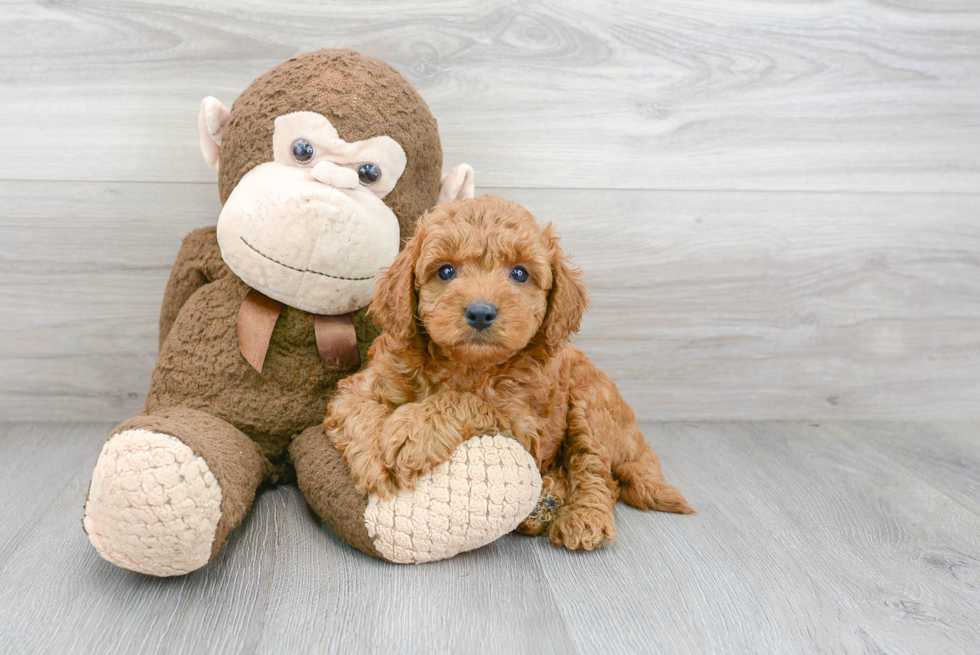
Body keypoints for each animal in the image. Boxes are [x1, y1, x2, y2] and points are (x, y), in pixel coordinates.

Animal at [326, 197, 692, 552]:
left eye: (519, 273)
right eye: (445, 271)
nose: (480, 312)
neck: (465, 365)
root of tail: (638, 443)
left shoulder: (524, 424)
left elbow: (466, 401)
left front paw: (412, 431)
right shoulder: (361, 386)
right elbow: (359, 410)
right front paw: (375, 458)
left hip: (590, 403)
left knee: (595, 472)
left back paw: (583, 518)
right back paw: (545, 503)